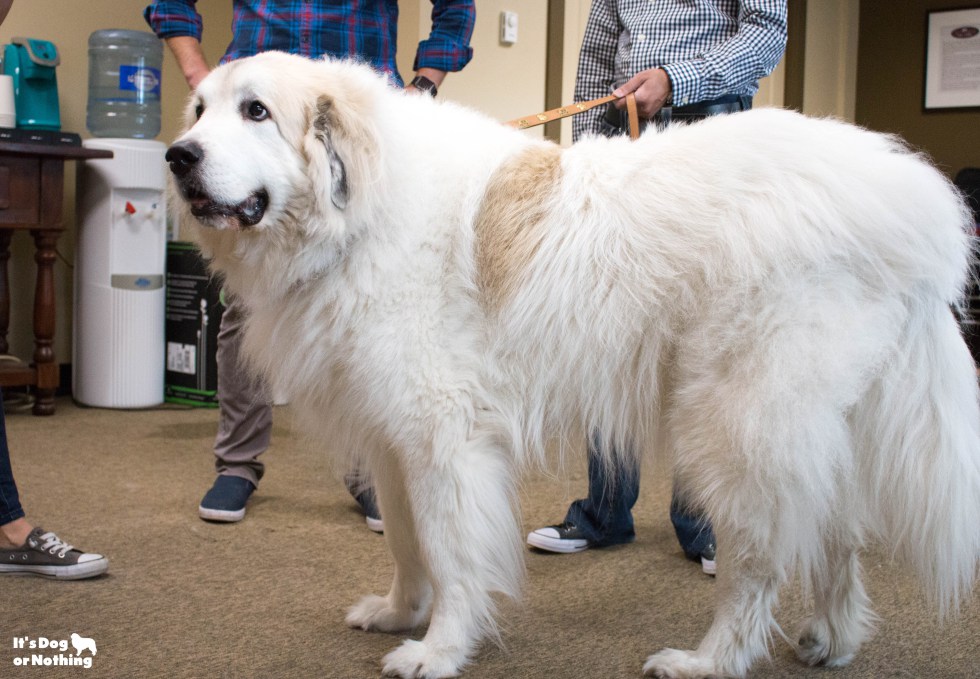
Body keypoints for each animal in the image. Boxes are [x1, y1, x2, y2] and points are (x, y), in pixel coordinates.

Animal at [168, 54, 980, 679]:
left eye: (257, 112)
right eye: (201, 110)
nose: (178, 156)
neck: (359, 212)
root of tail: (918, 209)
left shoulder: (443, 440)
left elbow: (450, 550)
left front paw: (438, 650)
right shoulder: (394, 441)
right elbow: (405, 540)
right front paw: (401, 614)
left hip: (737, 428)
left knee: (761, 562)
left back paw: (708, 660)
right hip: (806, 427)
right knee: (836, 533)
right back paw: (832, 642)